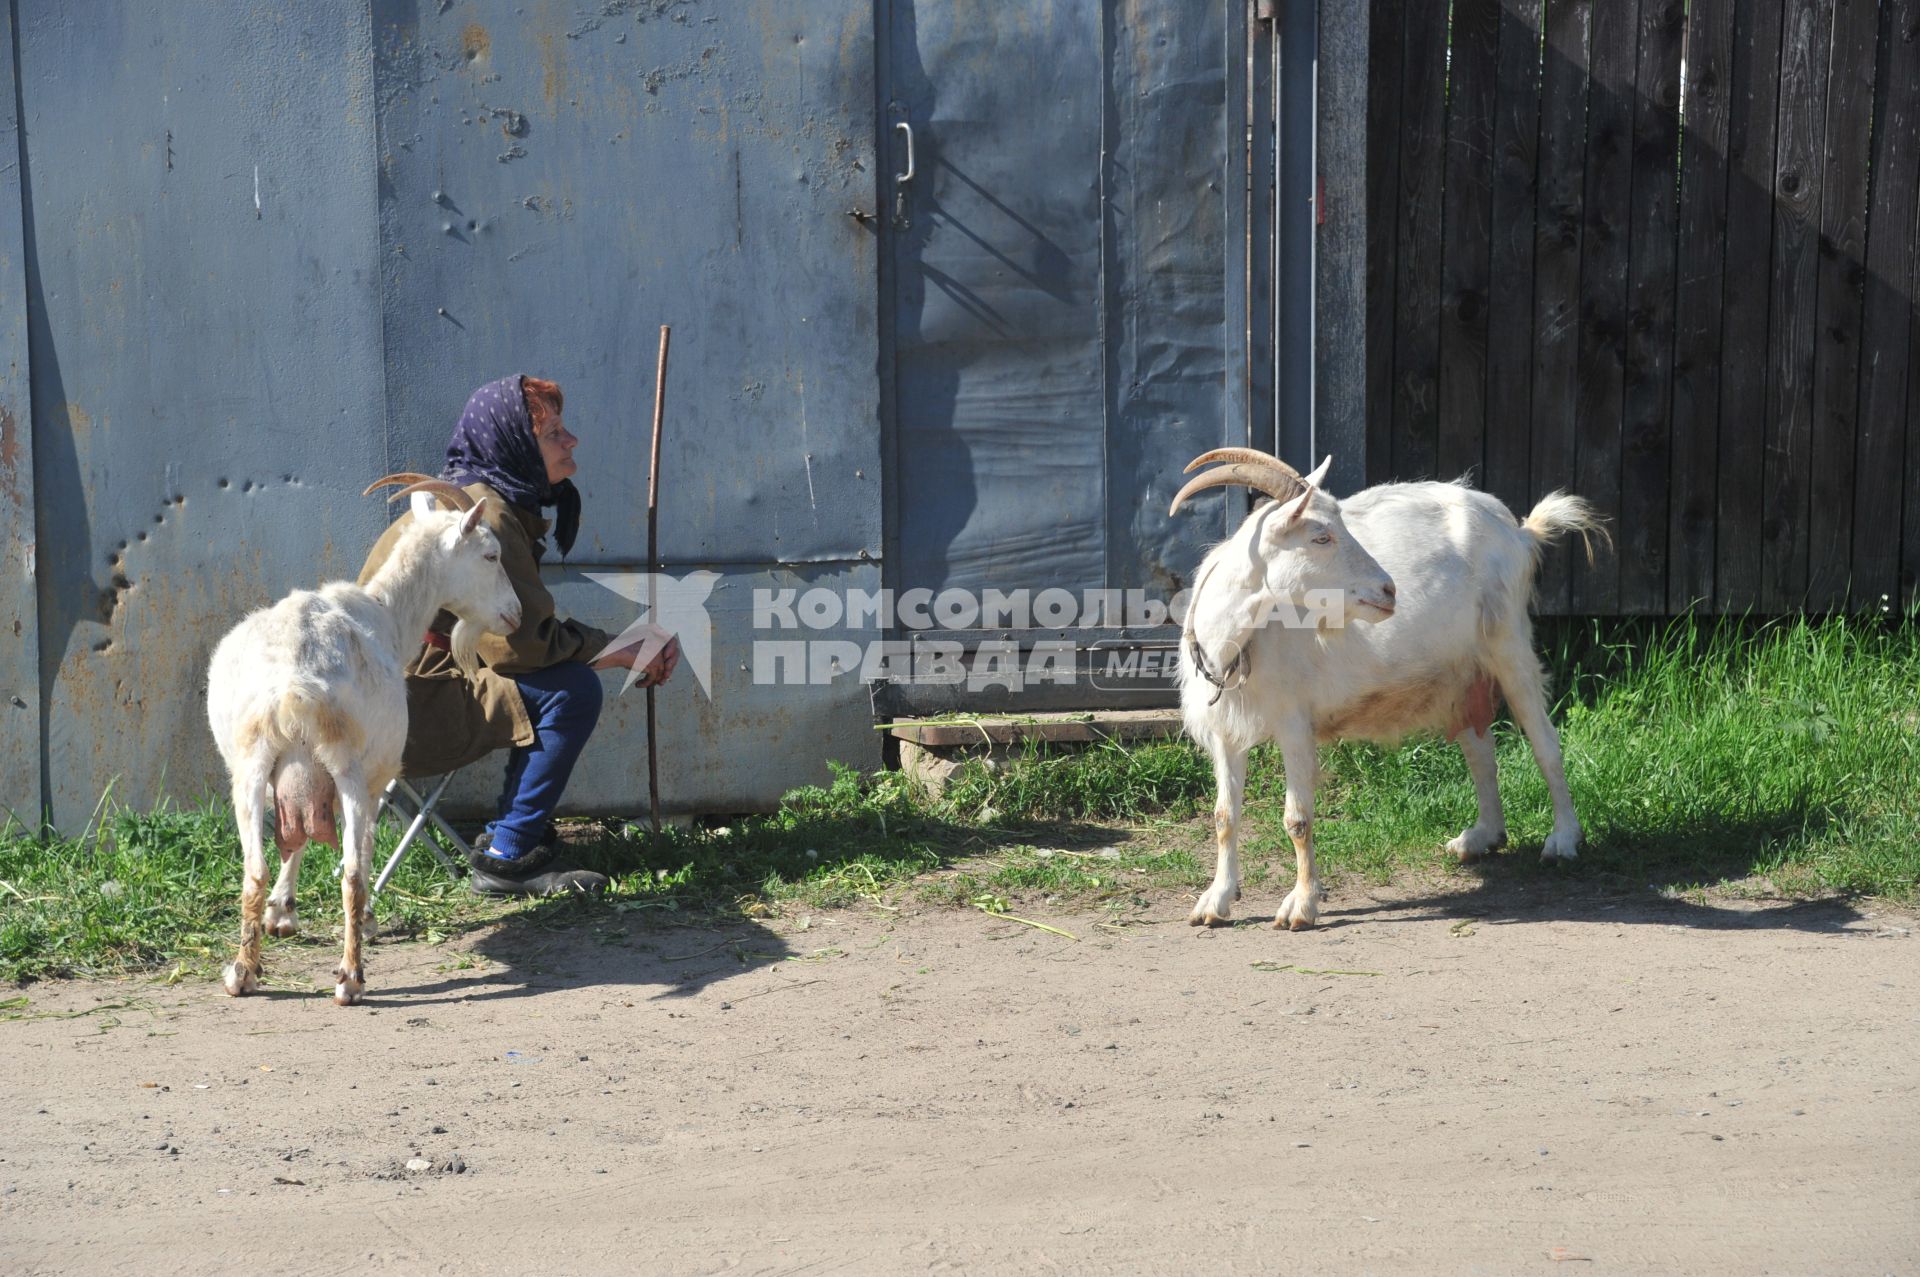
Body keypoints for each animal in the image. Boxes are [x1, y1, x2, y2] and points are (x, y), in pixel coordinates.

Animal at [206, 472, 522, 998]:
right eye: (492, 555)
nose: (515, 615)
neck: (387, 614)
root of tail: (297, 682)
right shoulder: (378, 779)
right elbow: (361, 850)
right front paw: (365, 920)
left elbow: (296, 839)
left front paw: (281, 912)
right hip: (350, 768)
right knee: (352, 872)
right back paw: (350, 978)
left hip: (250, 767)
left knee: (254, 869)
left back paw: (242, 972)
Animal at [1167, 447, 1605, 925]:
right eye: (1321, 537)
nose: (1389, 589)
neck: (1239, 640)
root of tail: (1521, 532)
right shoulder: (1225, 730)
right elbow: (1224, 816)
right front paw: (1215, 901)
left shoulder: (1294, 723)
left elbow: (1297, 819)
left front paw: (1301, 905)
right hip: (1462, 672)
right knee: (1480, 751)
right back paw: (1481, 837)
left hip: (1508, 645)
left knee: (1545, 743)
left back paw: (1563, 840)